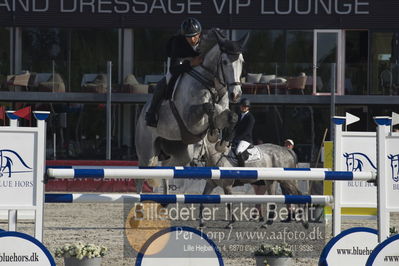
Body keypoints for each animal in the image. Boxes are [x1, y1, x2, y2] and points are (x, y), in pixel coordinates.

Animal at [136, 29, 248, 191]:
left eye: (242, 62)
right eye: (225, 62)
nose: (236, 94)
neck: (210, 82)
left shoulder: (223, 111)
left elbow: (231, 116)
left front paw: (220, 142)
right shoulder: (191, 121)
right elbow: (208, 107)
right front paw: (213, 134)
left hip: (181, 153)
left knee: (166, 170)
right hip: (146, 154)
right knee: (140, 177)